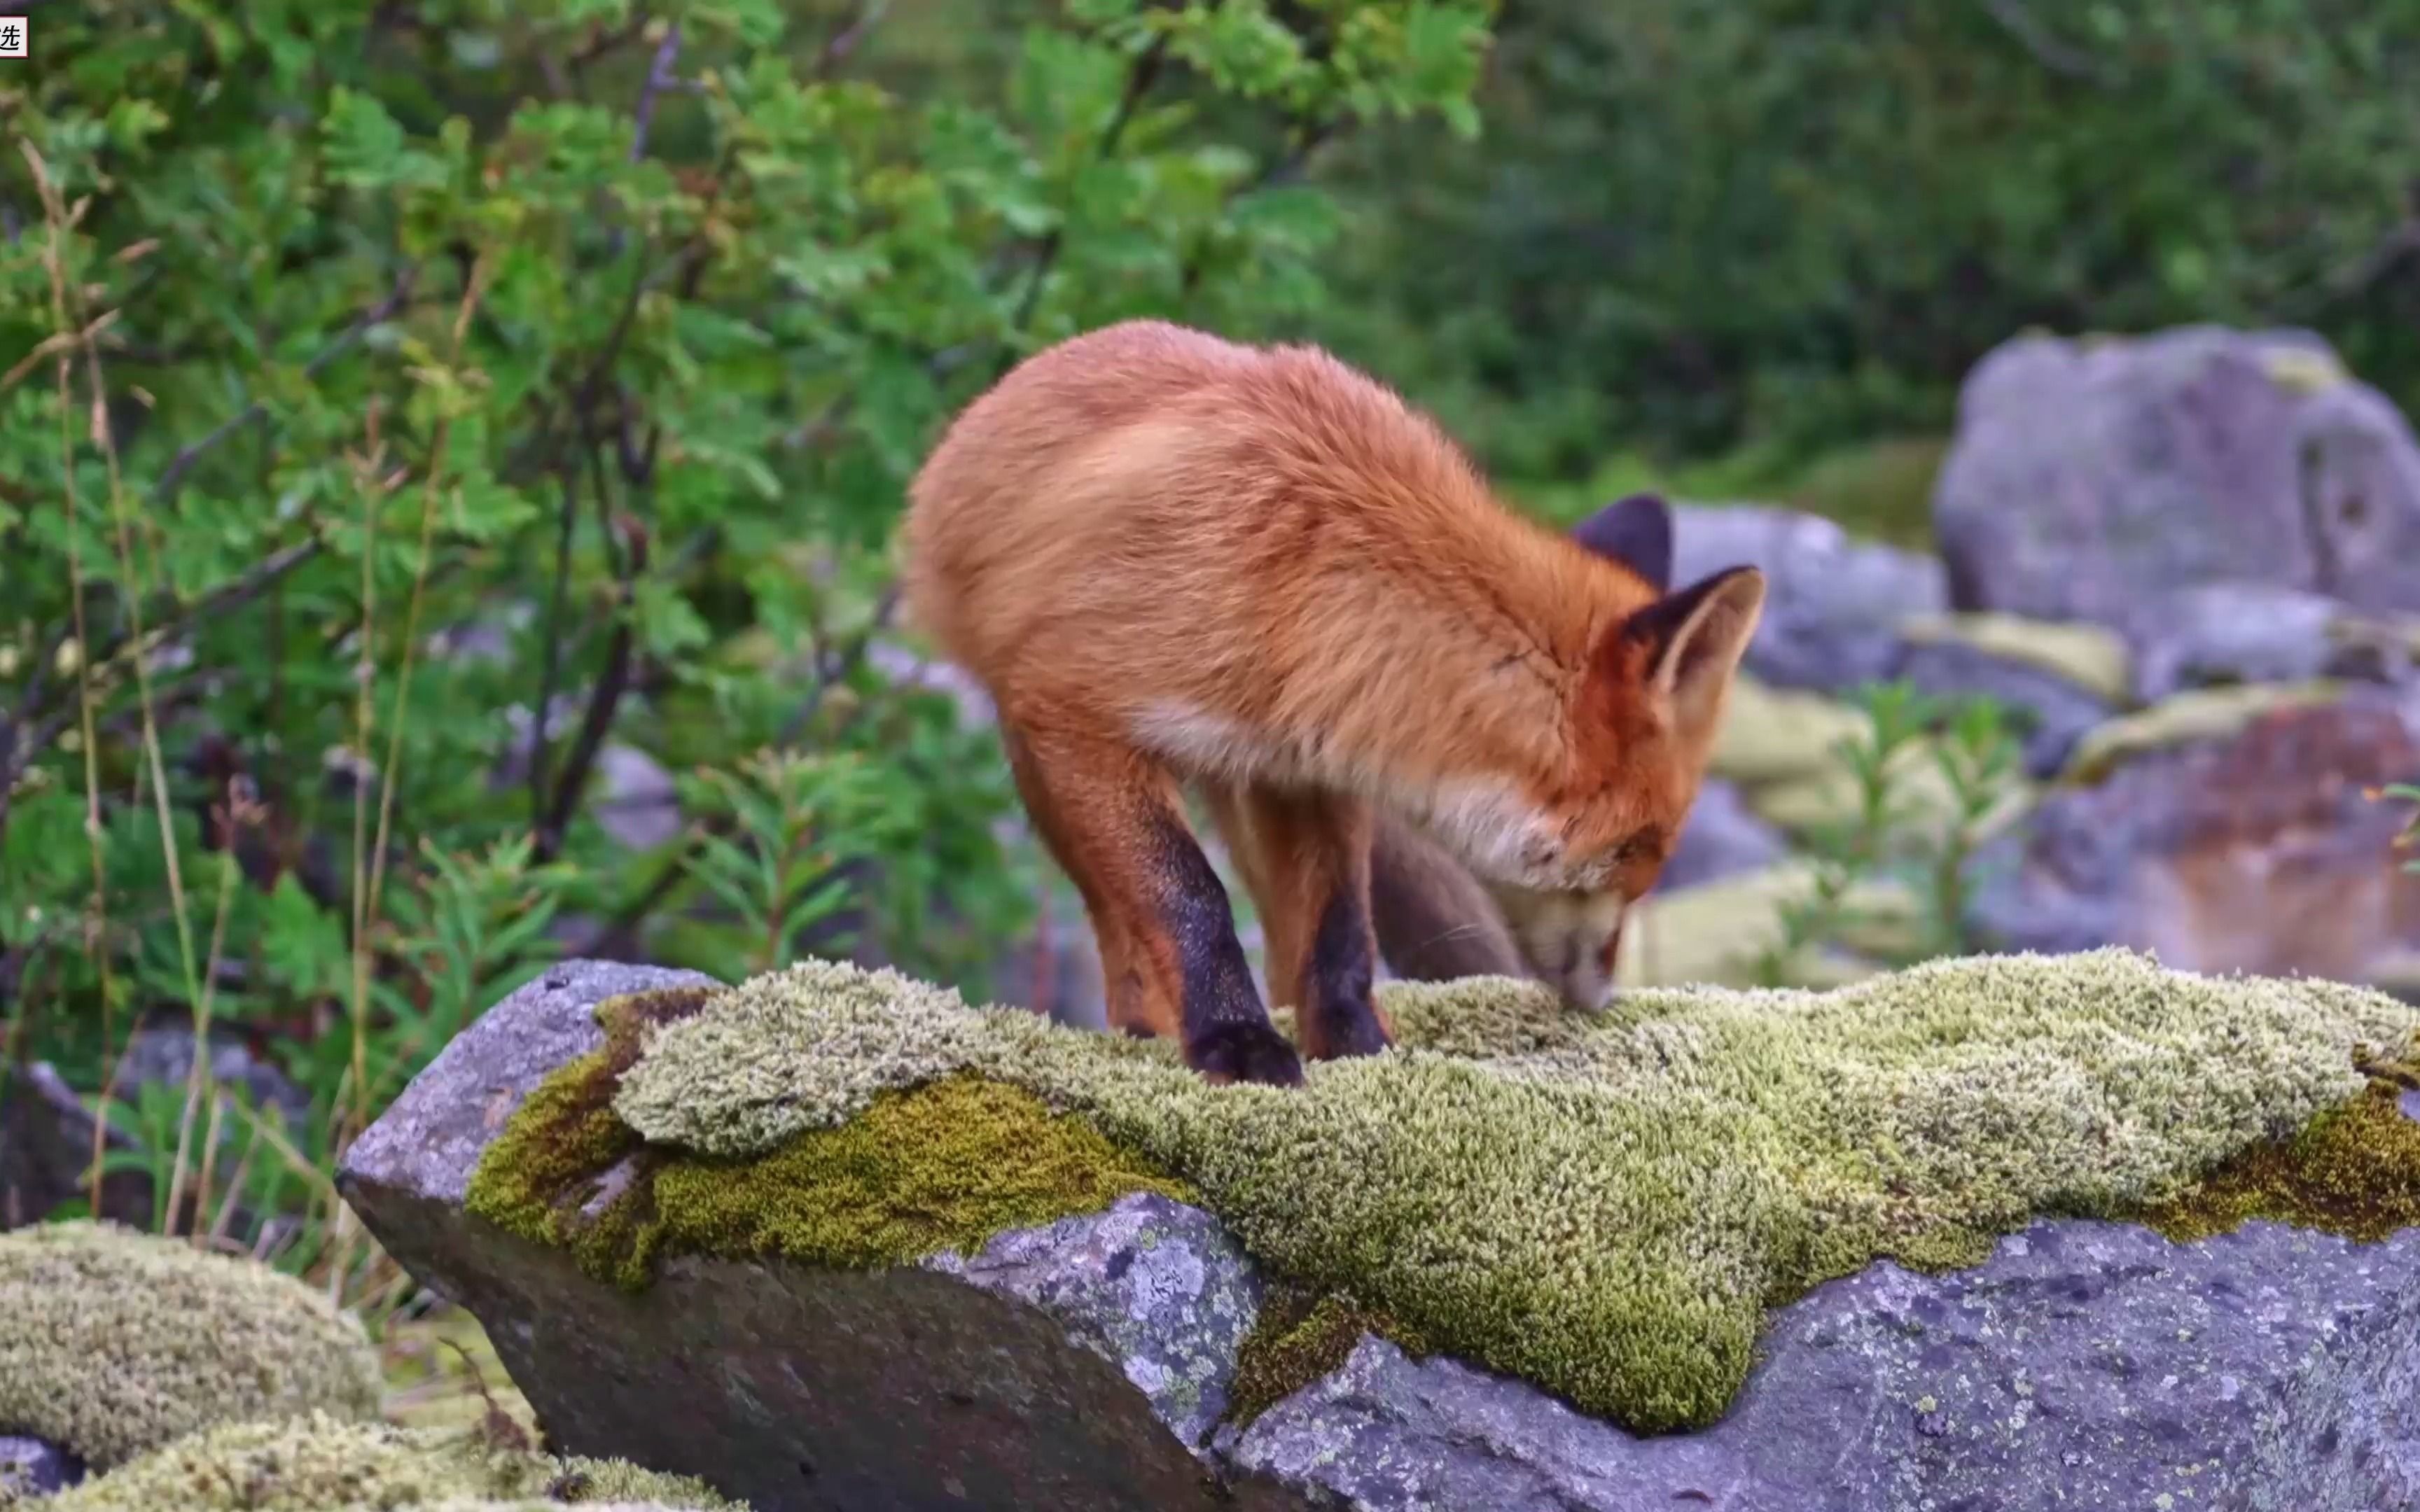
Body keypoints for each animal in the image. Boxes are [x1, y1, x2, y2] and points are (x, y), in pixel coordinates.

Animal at [905, 321, 1761, 1084]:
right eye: (1641, 853)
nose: (1603, 999)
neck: (1300, 592)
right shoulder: (1077, 713)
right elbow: (1188, 897)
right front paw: (1236, 1042)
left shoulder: (1313, 765)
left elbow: (1340, 935)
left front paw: (1356, 1048)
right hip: (1037, 763)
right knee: (1116, 921)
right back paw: (1147, 1026)